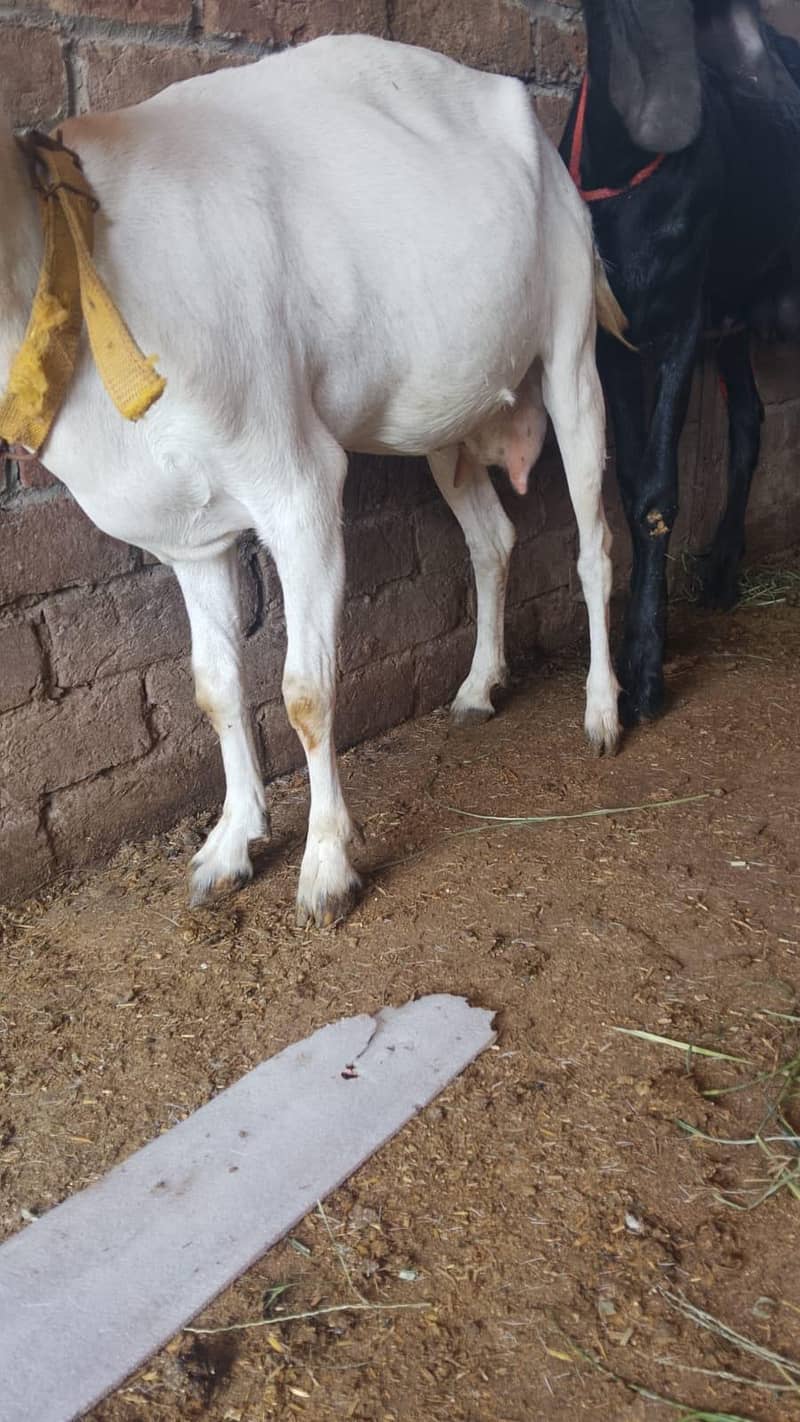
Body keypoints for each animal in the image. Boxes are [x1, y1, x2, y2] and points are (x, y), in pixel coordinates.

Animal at [1, 35, 622, 924]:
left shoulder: (296, 483)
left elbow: (306, 689)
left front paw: (327, 866)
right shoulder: (190, 535)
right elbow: (215, 688)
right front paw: (231, 844)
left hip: (572, 345)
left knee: (595, 541)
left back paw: (603, 711)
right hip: (446, 417)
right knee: (493, 539)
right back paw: (478, 687)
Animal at [563, 0, 800, 725]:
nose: (779, 99)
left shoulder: (682, 322)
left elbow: (656, 493)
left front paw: (644, 672)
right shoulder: (613, 336)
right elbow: (631, 481)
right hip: (733, 319)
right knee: (748, 420)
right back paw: (722, 571)